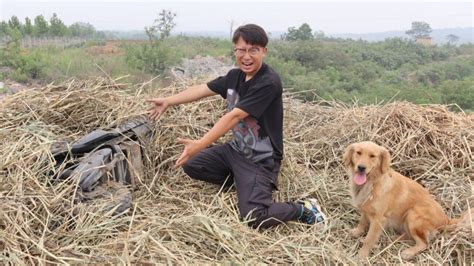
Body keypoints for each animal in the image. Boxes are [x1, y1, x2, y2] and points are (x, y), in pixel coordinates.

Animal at [342, 141, 472, 260]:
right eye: (358, 153)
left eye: (372, 156)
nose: (361, 168)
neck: (372, 183)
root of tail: (446, 219)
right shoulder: (366, 209)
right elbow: (362, 222)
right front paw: (357, 232)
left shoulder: (379, 218)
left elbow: (369, 239)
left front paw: (362, 255)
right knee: (409, 236)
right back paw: (392, 239)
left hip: (413, 215)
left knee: (423, 243)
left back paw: (408, 252)